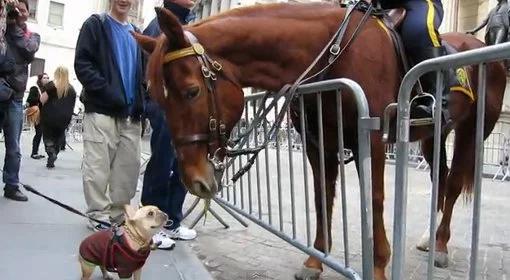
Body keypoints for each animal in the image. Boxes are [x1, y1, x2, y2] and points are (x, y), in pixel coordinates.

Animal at [134, 3, 506, 278]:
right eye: (157, 97)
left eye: (191, 91)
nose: (194, 179)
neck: (334, 53)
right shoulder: (318, 143)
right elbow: (321, 195)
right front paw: (315, 260)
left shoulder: (371, 138)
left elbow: (375, 201)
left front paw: (379, 265)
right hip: (434, 136)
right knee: (440, 179)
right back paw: (430, 239)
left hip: (473, 131)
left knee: (453, 183)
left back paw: (440, 244)